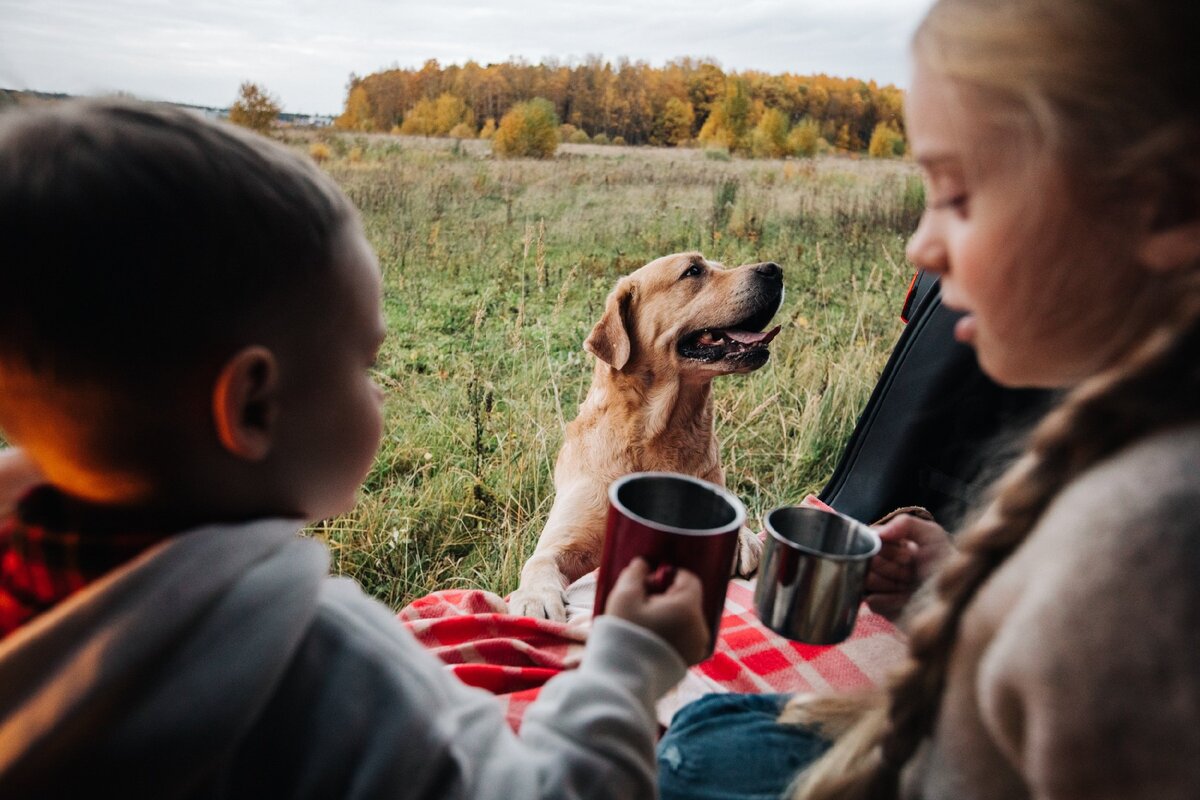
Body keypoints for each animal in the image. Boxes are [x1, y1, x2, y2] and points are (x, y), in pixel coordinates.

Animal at [508, 250, 782, 618]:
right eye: (693, 270)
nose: (775, 270)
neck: (654, 434)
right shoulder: (565, 538)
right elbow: (538, 562)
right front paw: (535, 597)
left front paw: (744, 538)